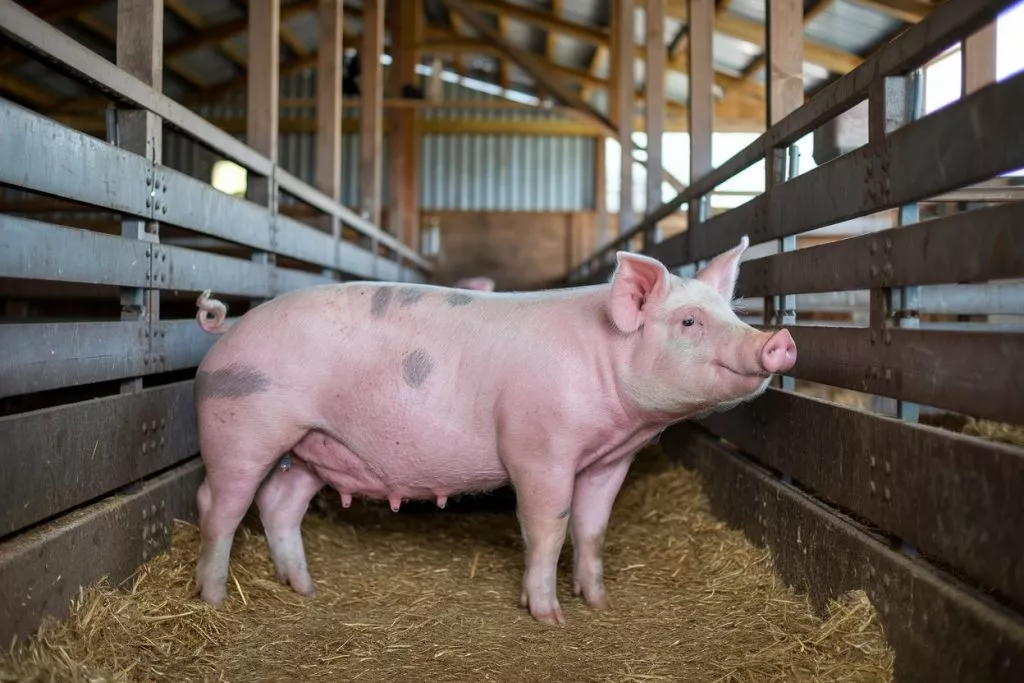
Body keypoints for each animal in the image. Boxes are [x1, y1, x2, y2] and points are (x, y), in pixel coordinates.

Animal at [190, 235, 796, 625]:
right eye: (689, 321)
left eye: (733, 313)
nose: (779, 338)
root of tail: (233, 325)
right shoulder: (537, 449)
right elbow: (549, 527)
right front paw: (550, 619)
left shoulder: (608, 461)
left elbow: (593, 528)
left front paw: (599, 603)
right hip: (241, 428)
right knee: (219, 504)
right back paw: (214, 600)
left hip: (312, 447)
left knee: (279, 503)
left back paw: (305, 590)